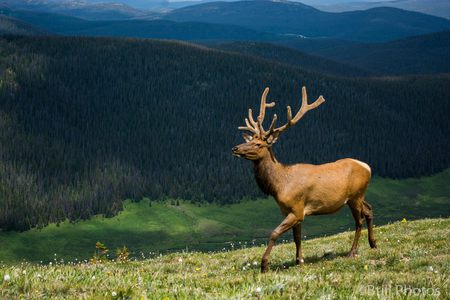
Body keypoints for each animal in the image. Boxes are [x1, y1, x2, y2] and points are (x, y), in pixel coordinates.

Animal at [232, 86, 376, 272]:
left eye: (258, 144)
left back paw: (352, 252)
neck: (279, 185)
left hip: (355, 196)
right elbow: (297, 237)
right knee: (369, 210)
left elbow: (274, 233)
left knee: (359, 220)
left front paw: (265, 265)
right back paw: (373, 243)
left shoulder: (297, 209)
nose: (235, 148)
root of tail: (367, 167)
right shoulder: (289, 210)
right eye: (249, 140)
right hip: (359, 195)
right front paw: (299, 261)